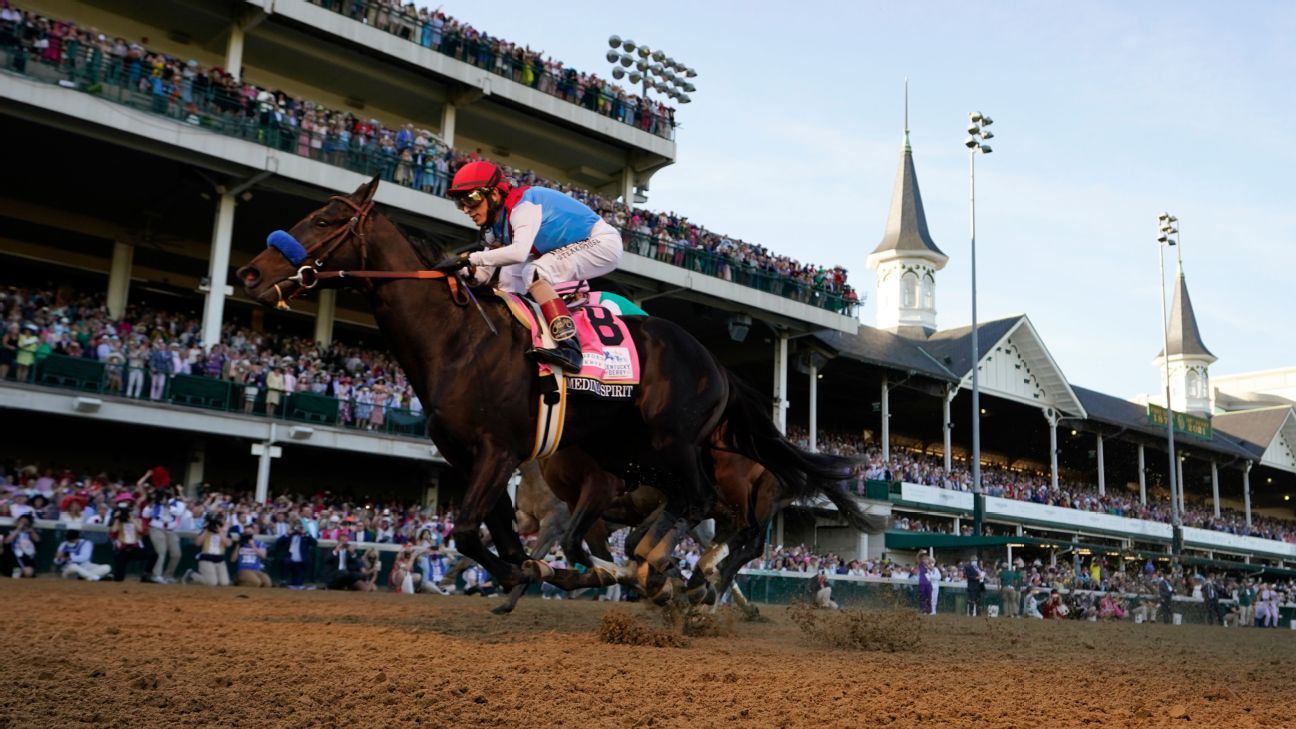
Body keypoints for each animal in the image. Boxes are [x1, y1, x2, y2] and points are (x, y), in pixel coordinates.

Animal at [238, 177, 865, 607]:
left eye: (325, 219)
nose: (249, 273)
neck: (460, 340)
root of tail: (716, 362)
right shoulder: (472, 460)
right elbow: (496, 538)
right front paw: (531, 575)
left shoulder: (501, 452)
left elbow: (469, 533)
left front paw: (538, 576)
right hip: (637, 452)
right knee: (697, 516)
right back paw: (663, 574)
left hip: (678, 444)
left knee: (712, 513)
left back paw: (670, 572)